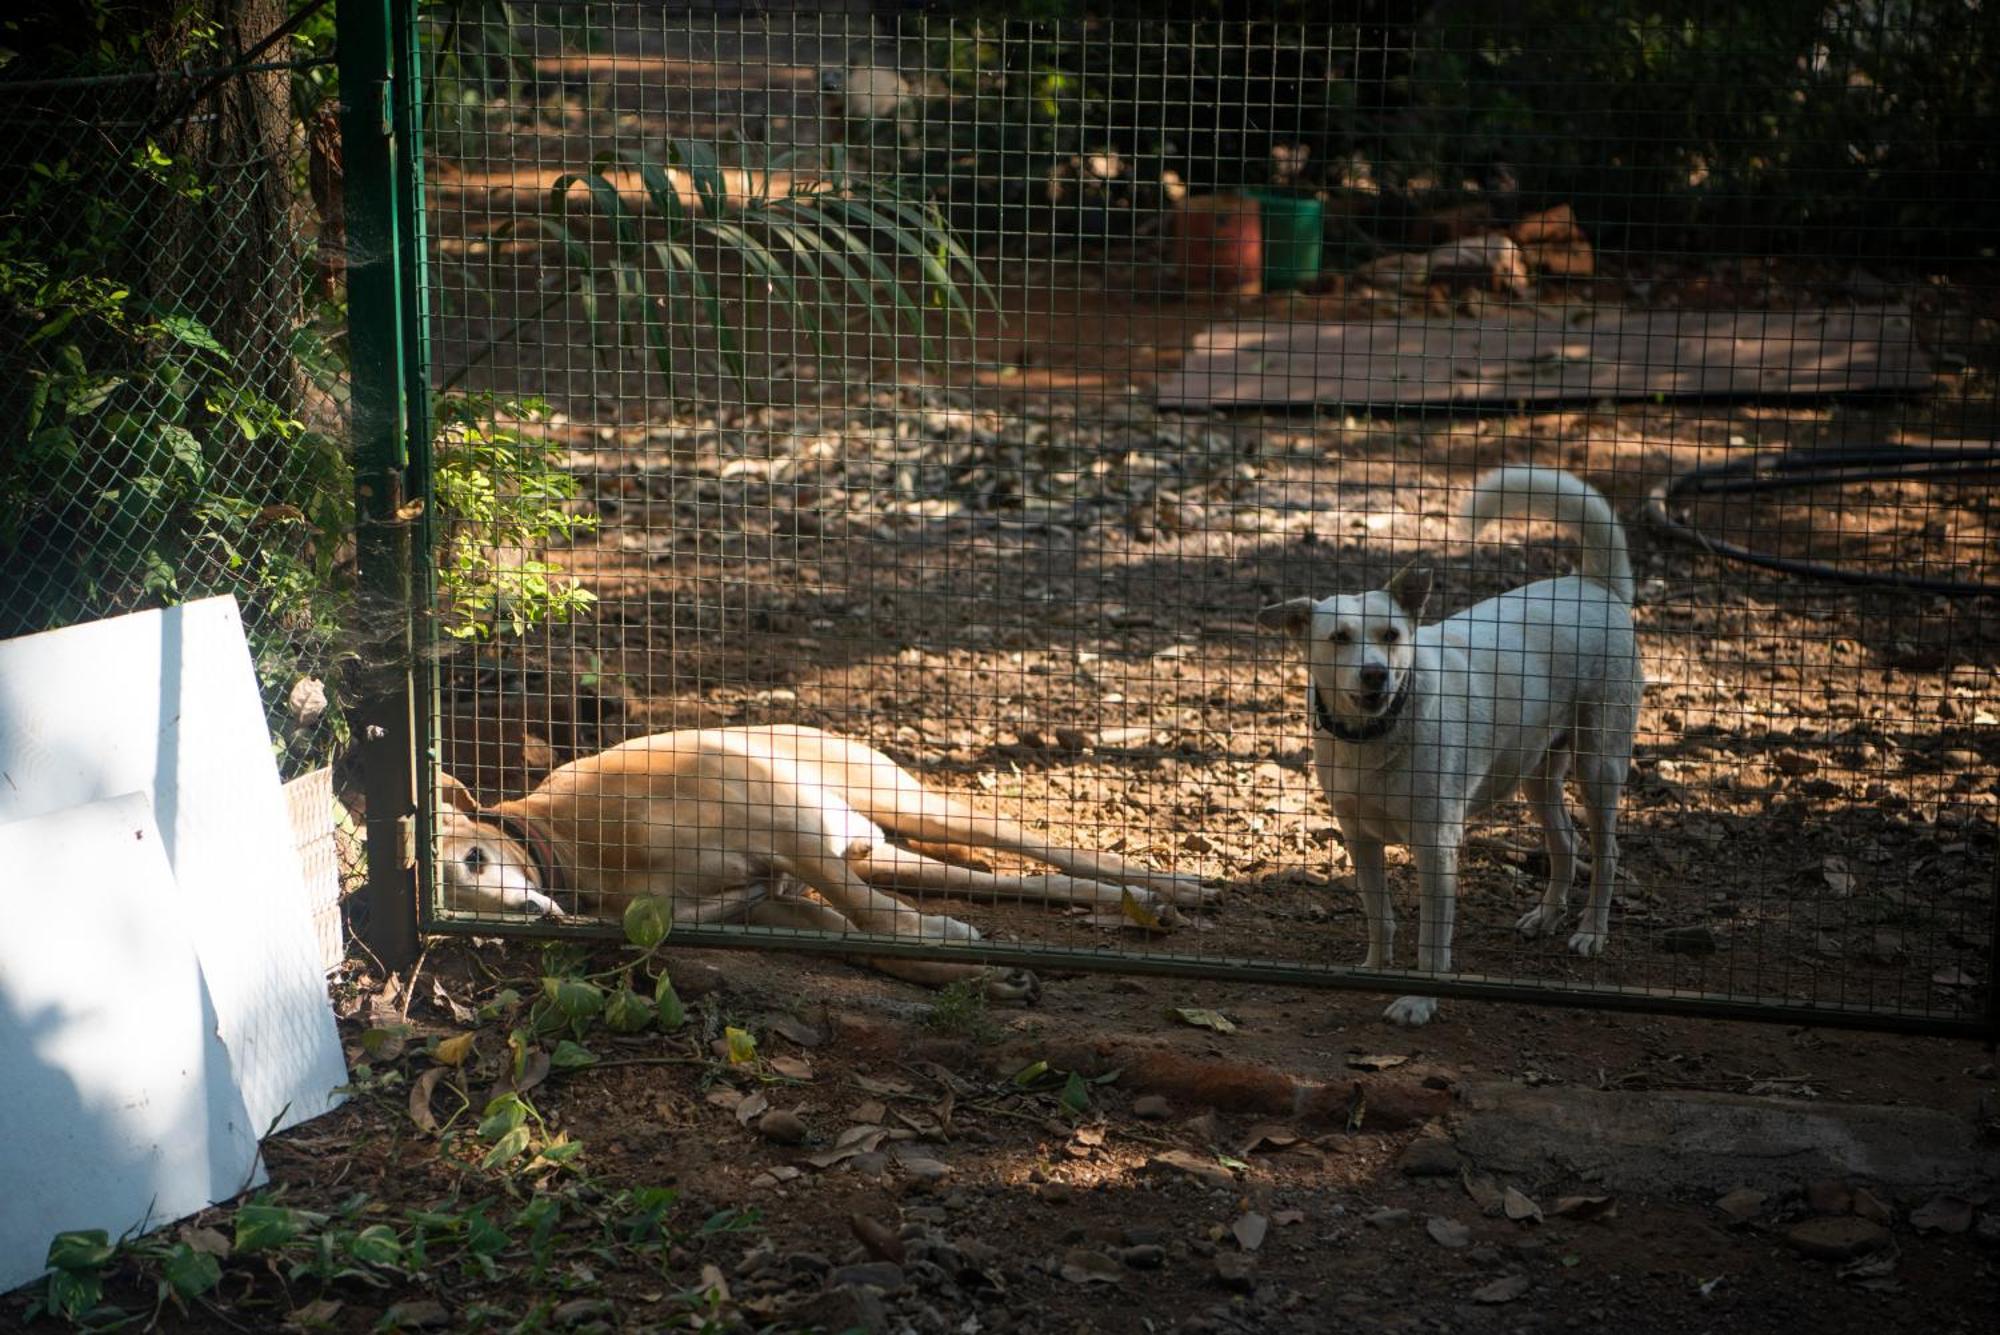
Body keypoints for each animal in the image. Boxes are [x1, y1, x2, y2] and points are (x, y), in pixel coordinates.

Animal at [442, 723, 1216, 995]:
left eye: (477, 857)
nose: (527, 913)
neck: (568, 841)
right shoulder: (772, 905)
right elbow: (867, 938)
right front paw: (972, 970)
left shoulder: (784, 835)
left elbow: (875, 919)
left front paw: (943, 942)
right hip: (882, 851)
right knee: (1014, 880)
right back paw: (1144, 905)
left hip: (910, 809)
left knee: (1044, 847)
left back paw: (1174, 882)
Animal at [1264, 467, 1640, 1023]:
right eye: (1339, 638)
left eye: (1392, 634)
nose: (1375, 674)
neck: (1377, 733)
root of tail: (1593, 585)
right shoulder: (1360, 838)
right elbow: (1378, 914)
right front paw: (1374, 969)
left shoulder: (1436, 846)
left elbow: (1431, 940)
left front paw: (1420, 1000)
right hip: (1535, 773)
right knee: (1567, 843)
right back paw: (1546, 917)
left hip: (1599, 764)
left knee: (1607, 851)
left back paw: (1591, 933)